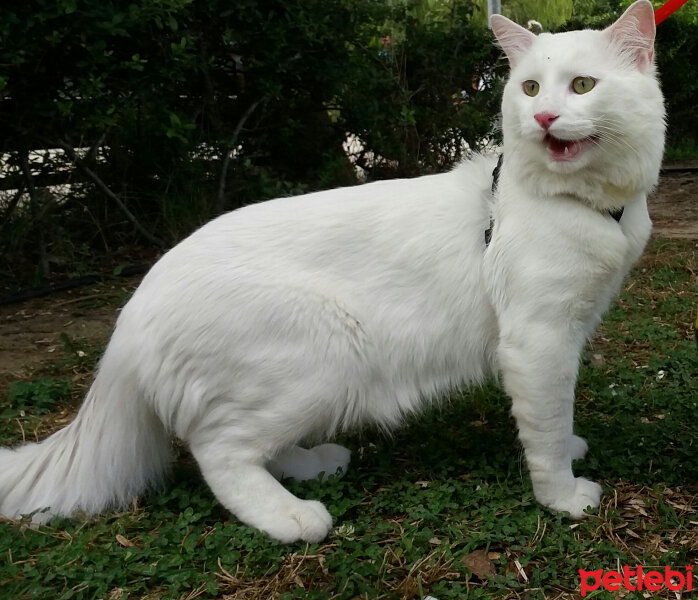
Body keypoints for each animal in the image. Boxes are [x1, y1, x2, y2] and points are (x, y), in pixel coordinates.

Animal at [0, 0, 664, 544]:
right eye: (528, 88)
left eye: (582, 85)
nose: (545, 117)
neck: (583, 204)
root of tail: (129, 315)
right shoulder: (537, 340)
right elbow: (545, 428)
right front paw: (562, 496)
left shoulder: (566, 333)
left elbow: (552, 416)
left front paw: (569, 453)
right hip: (323, 358)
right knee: (219, 452)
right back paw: (291, 517)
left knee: (251, 448)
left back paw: (314, 466)